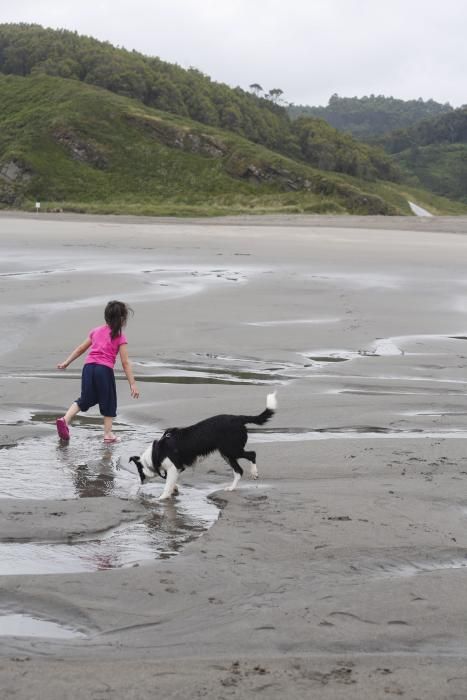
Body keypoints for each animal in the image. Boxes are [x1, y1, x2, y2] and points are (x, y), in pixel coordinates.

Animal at [129, 392, 278, 500]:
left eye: (139, 472)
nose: (140, 484)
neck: (157, 453)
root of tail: (238, 418)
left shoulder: (173, 467)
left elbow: (167, 486)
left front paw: (161, 498)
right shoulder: (178, 468)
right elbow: (171, 483)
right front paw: (174, 490)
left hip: (232, 450)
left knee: (252, 454)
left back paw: (254, 472)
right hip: (226, 453)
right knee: (239, 471)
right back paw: (231, 488)